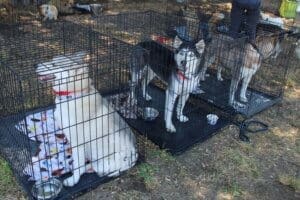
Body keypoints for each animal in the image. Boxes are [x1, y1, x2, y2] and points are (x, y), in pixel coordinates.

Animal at [35, 51, 138, 186]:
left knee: (90, 167)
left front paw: (73, 180)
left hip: (102, 162)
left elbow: (78, 164)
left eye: (53, 64)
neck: (72, 94)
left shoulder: (78, 143)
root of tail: (134, 157)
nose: (34, 65)